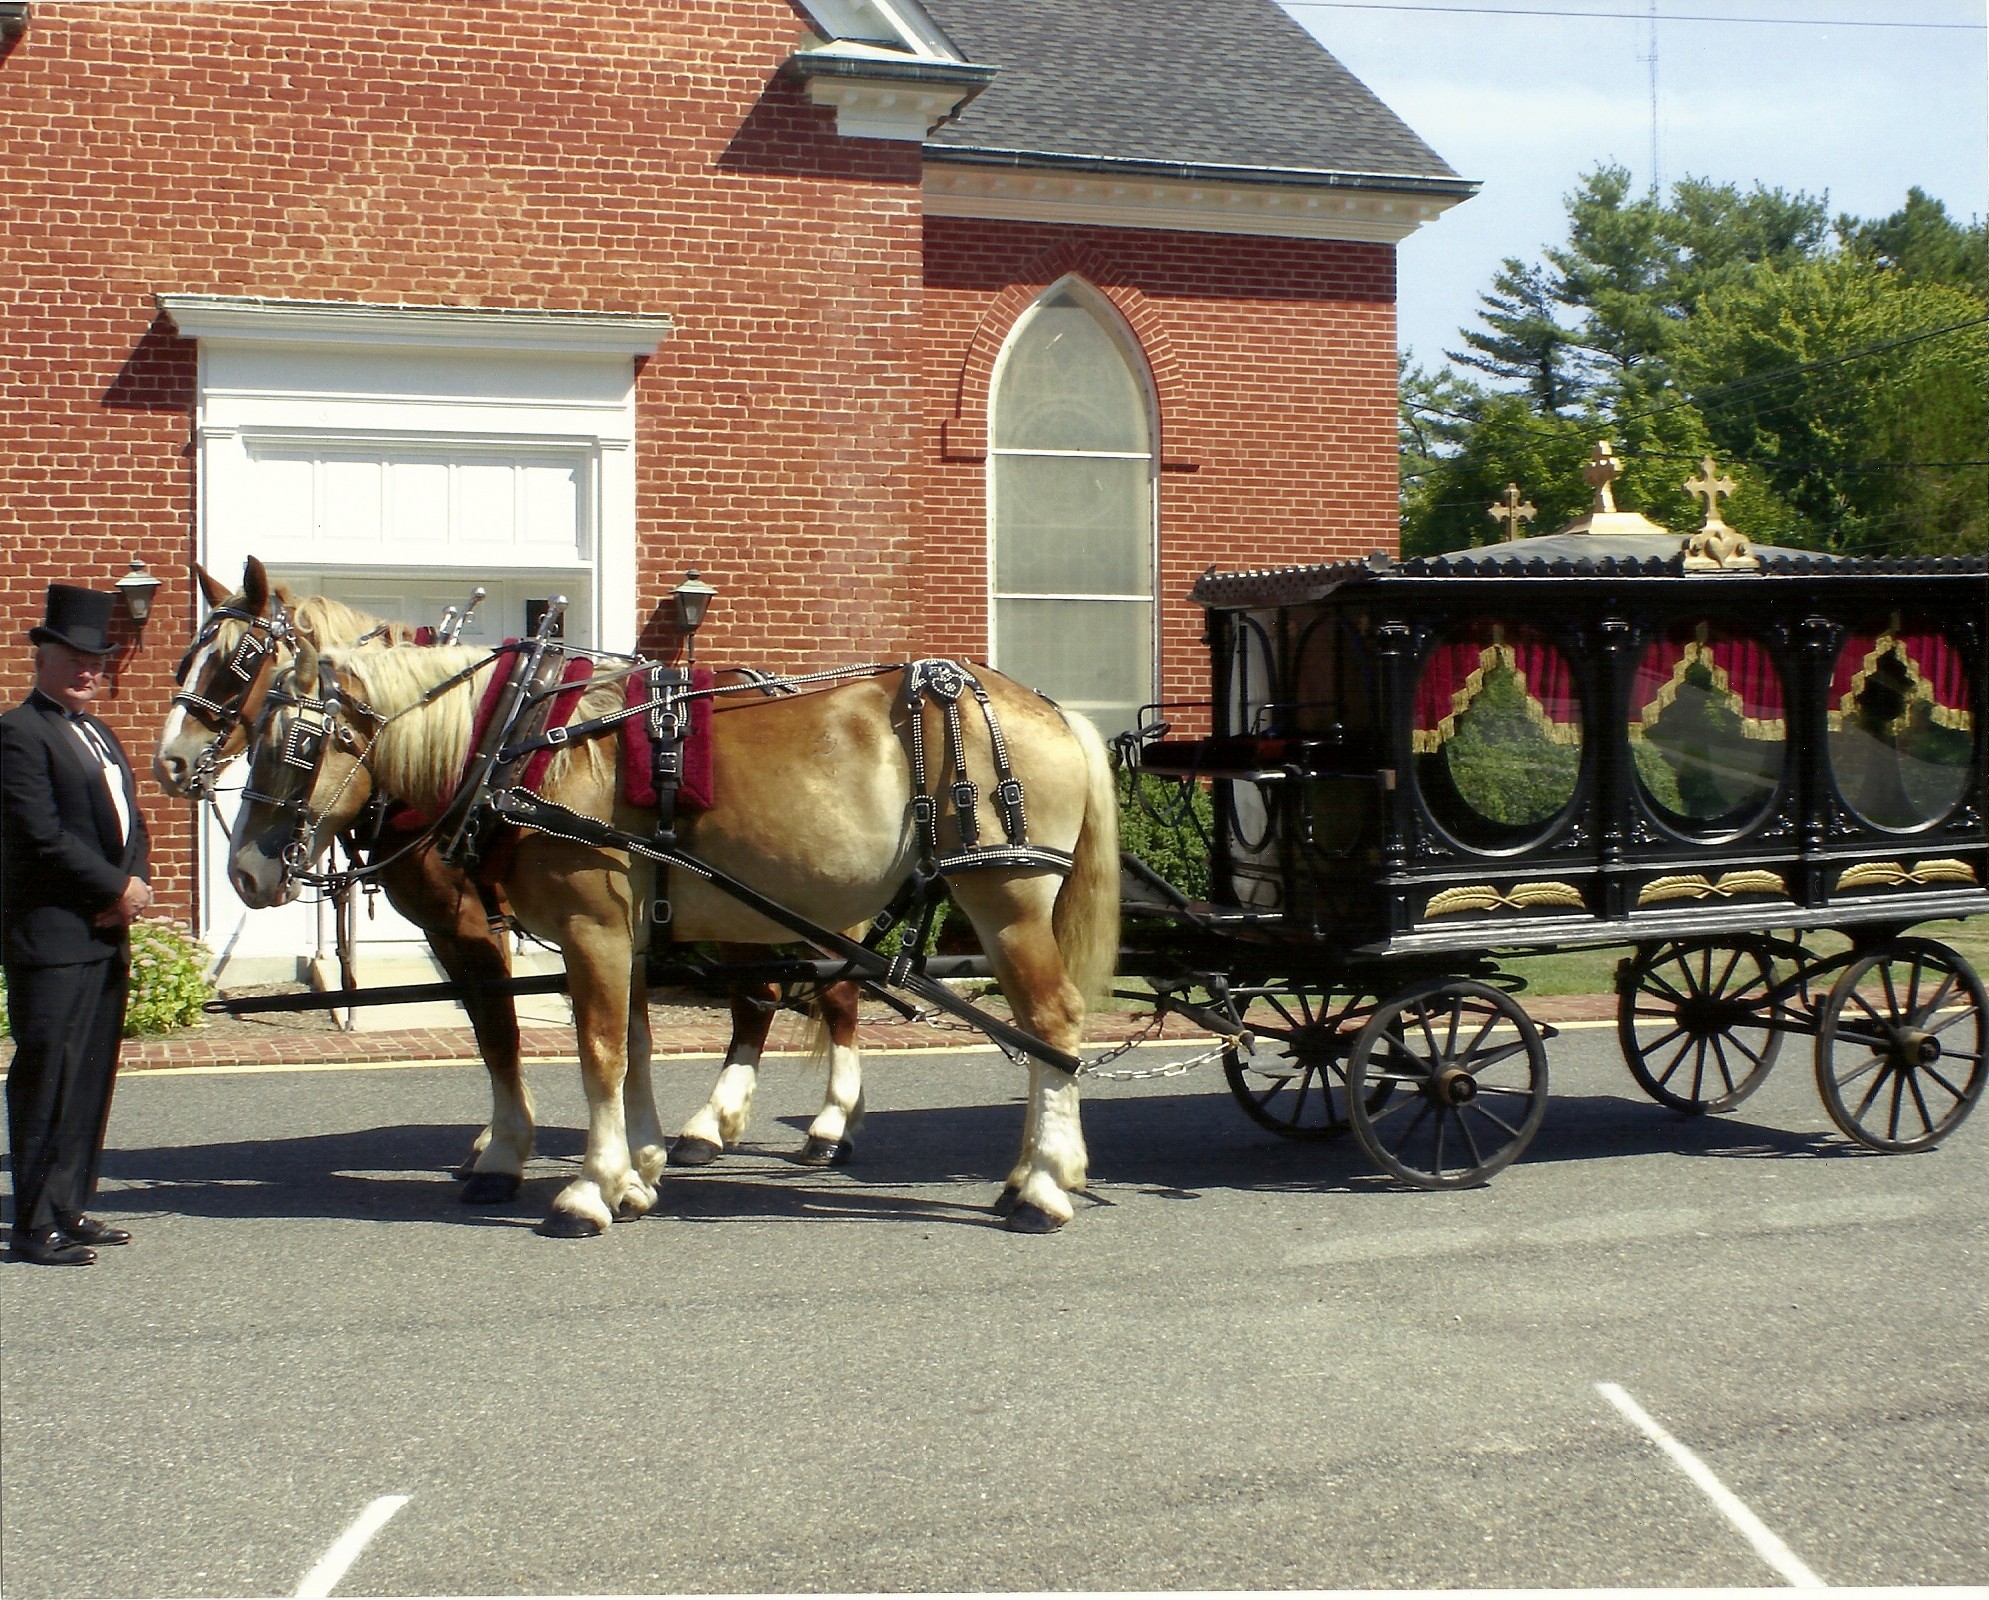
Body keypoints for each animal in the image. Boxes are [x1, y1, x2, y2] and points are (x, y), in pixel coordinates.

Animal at [151, 561, 867, 1201]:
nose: (169, 763)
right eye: (184, 660)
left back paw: (828, 1124)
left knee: (830, 995)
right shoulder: (478, 926)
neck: (481, 745)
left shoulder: (466, 921)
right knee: (762, 999)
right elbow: (510, 1031)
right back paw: (717, 1127)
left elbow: (500, 1033)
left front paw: (504, 1154)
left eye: (234, 664)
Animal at [228, 636, 1121, 1233]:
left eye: (296, 744)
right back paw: (1023, 1176)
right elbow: (633, 1046)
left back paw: (1044, 1188)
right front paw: (636, 1173)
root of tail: (1047, 708)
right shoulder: (618, 935)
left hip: (1002, 898)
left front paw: (588, 1191)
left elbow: (597, 1053)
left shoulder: (588, 927)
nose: (244, 870)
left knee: (1051, 1025)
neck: (522, 746)